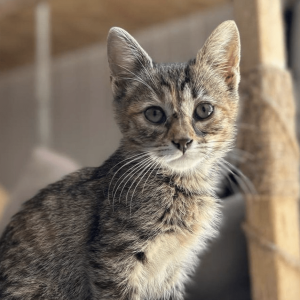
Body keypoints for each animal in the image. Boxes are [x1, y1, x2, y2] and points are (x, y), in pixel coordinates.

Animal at [0, 19, 239, 298]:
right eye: (154, 114)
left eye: (204, 110)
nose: (182, 141)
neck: (180, 185)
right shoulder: (113, 260)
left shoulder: (171, 273)